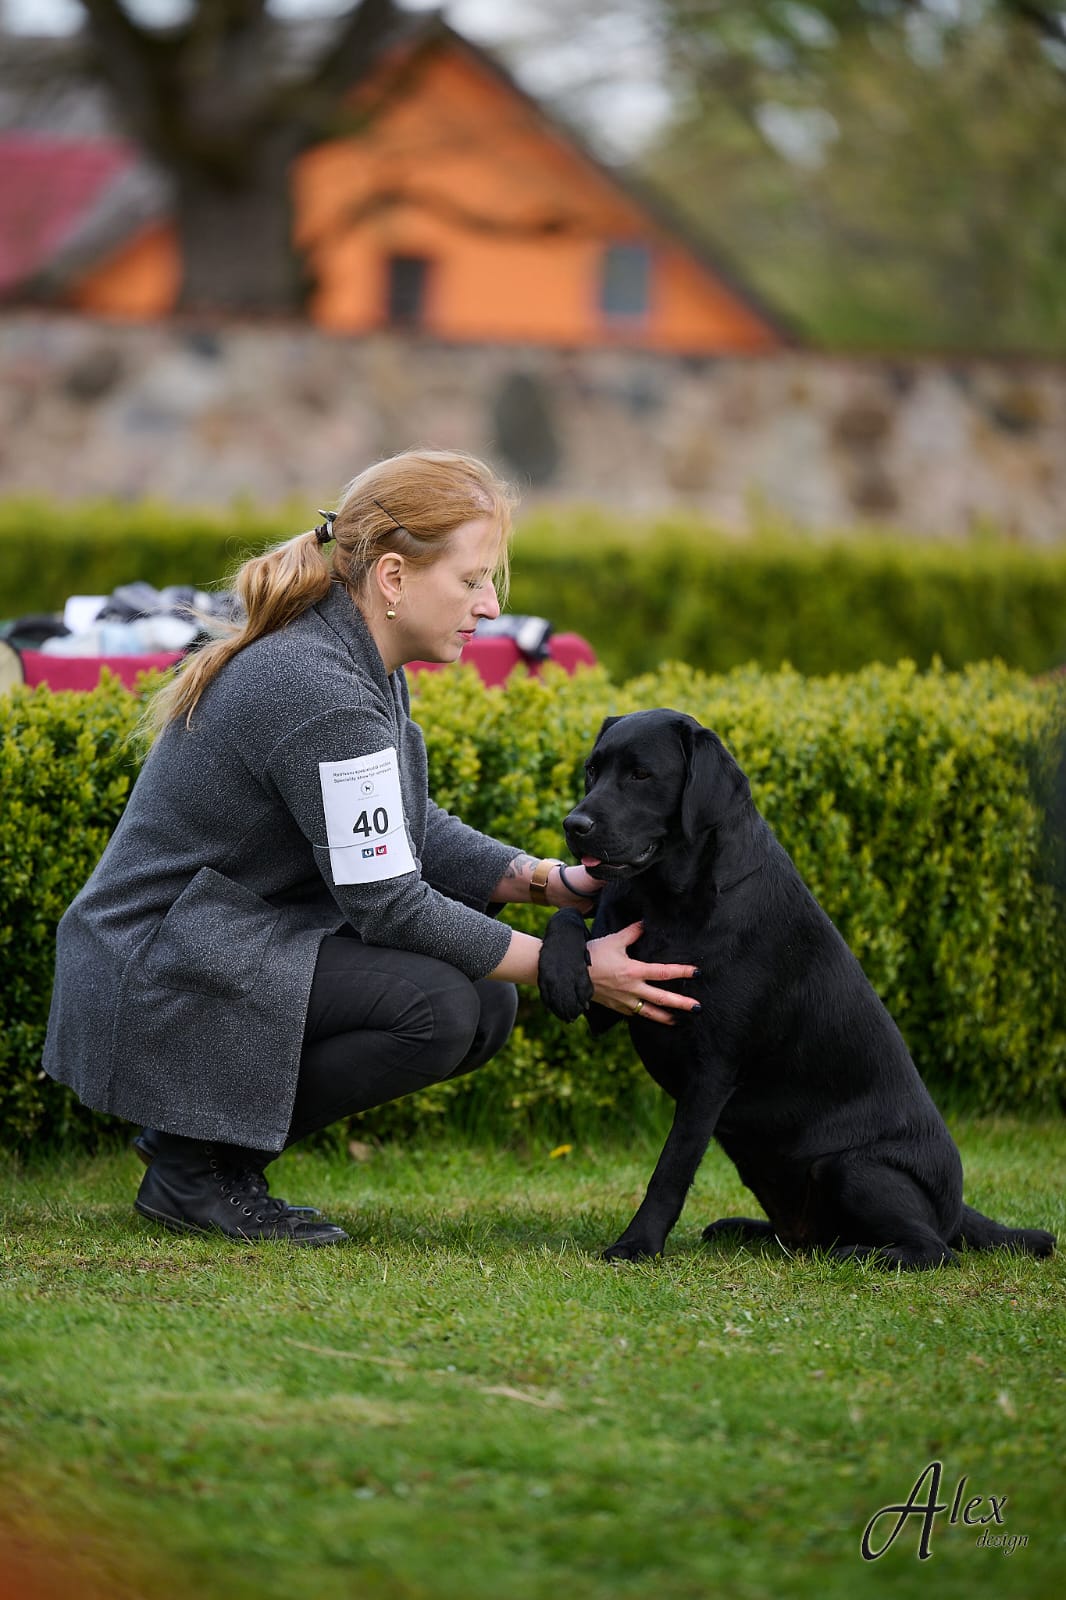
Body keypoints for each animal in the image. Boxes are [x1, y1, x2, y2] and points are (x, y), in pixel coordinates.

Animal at [538, 709, 1056, 1268]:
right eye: (592, 771)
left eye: (640, 775)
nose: (574, 825)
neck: (669, 898)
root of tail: (958, 1208)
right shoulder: (619, 998)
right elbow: (568, 918)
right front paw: (559, 977)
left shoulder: (713, 1070)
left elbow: (671, 1169)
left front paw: (638, 1243)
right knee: (805, 1239)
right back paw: (748, 1230)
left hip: (850, 1167)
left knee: (933, 1250)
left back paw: (854, 1252)